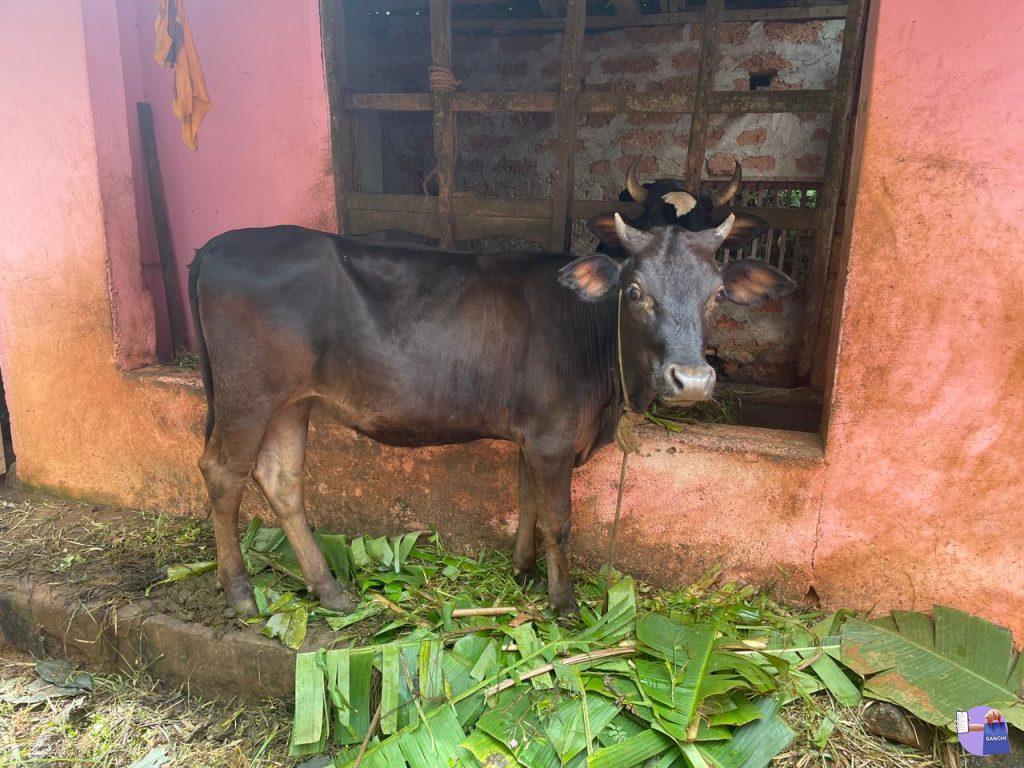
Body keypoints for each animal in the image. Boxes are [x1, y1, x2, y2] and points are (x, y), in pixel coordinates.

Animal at [188, 188, 796, 619]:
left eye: (716, 294)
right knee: (223, 472)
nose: (691, 380)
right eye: (635, 291)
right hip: (249, 396)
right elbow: (559, 520)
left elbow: (527, 501)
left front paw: (523, 571)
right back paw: (240, 592)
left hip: (293, 401)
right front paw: (563, 604)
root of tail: (217, 245)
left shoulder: (535, 435)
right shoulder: (553, 438)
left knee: (281, 479)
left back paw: (329, 590)